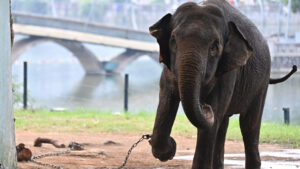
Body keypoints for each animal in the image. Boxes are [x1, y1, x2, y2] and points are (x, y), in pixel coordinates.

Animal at [148, 0, 298, 168]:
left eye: (214, 47)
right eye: (173, 40)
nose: (205, 107)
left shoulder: (228, 72)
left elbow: (213, 116)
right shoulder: (168, 70)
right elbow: (166, 99)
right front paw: (169, 148)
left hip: (262, 81)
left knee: (248, 124)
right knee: (223, 125)